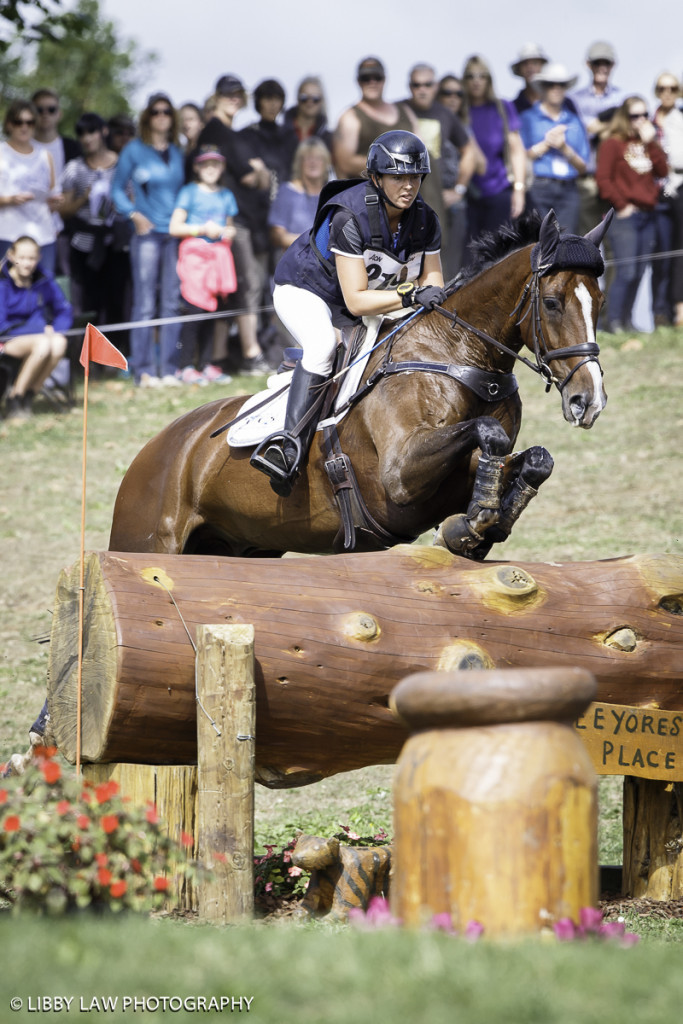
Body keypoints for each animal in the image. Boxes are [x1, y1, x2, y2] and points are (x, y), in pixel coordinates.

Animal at [109, 208, 610, 561]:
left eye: (600, 302)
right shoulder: (399, 479)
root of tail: (154, 448)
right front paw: (476, 520)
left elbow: (531, 460)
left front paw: (477, 526)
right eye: (552, 302)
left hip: (241, 546)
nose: (589, 401)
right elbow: (490, 435)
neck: (458, 357)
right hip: (145, 542)